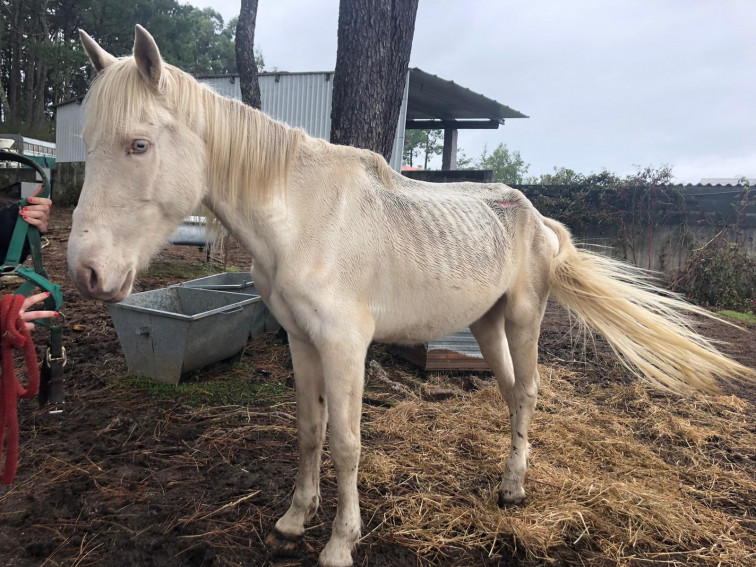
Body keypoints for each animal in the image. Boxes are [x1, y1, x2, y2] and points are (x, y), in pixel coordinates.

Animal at [68, 26, 752, 567]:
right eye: (92, 142)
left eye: (138, 144)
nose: (87, 271)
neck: (302, 216)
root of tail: (535, 216)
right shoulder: (301, 342)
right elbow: (310, 430)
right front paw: (293, 521)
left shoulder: (346, 346)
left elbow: (347, 442)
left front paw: (340, 543)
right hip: (485, 326)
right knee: (510, 392)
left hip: (524, 320)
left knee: (529, 392)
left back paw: (514, 490)